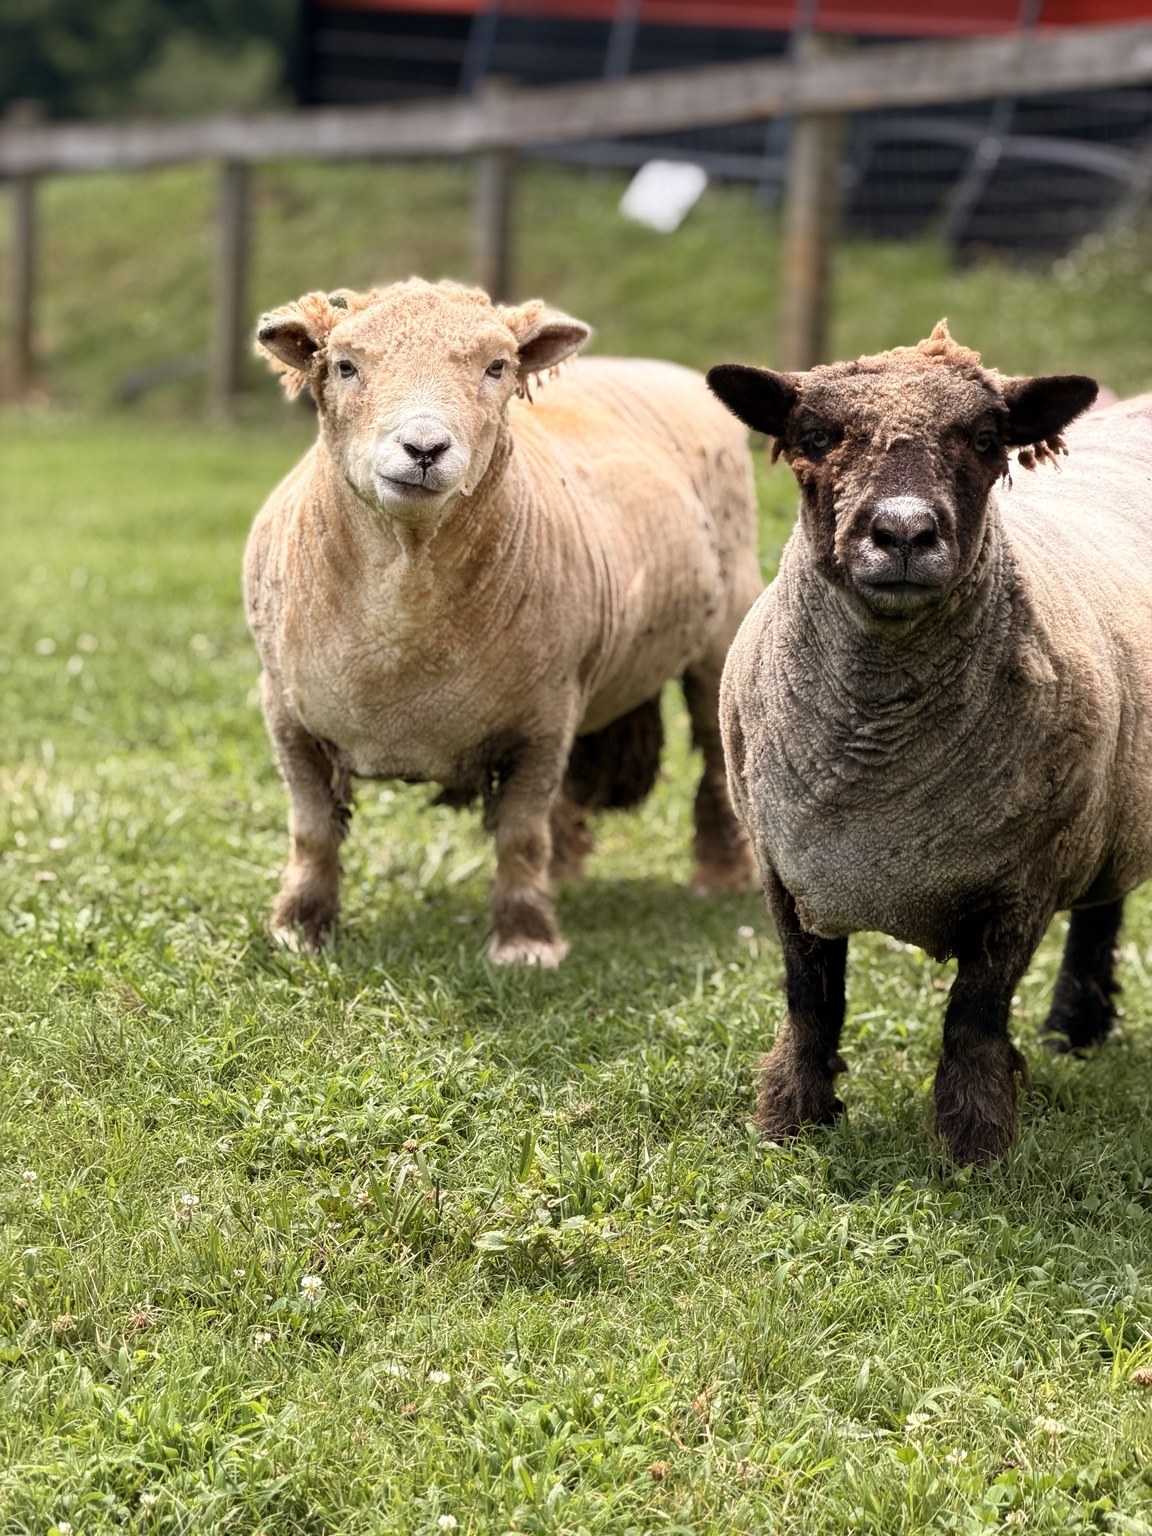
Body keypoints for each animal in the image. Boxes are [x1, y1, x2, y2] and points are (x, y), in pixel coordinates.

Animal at [245, 278, 760, 967]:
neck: (400, 626)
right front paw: (299, 928)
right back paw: (566, 863)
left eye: (497, 367)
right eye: (346, 366)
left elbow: (518, 835)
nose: (424, 449)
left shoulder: (540, 722)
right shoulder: (287, 712)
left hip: (721, 631)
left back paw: (720, 874)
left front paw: (526, 939)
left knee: (714, 761)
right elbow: (311, 832)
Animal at [706, 321, 1152, 1164]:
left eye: (984, 439)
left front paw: (974, 1146)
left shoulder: (1025, 881)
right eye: (816, 435)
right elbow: (810, 999)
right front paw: (793, 1123)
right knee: (1104, 903)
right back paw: (1073, 1033)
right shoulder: (783, 867)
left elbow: (973, 1017)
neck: (875, 758)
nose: (904, 533)